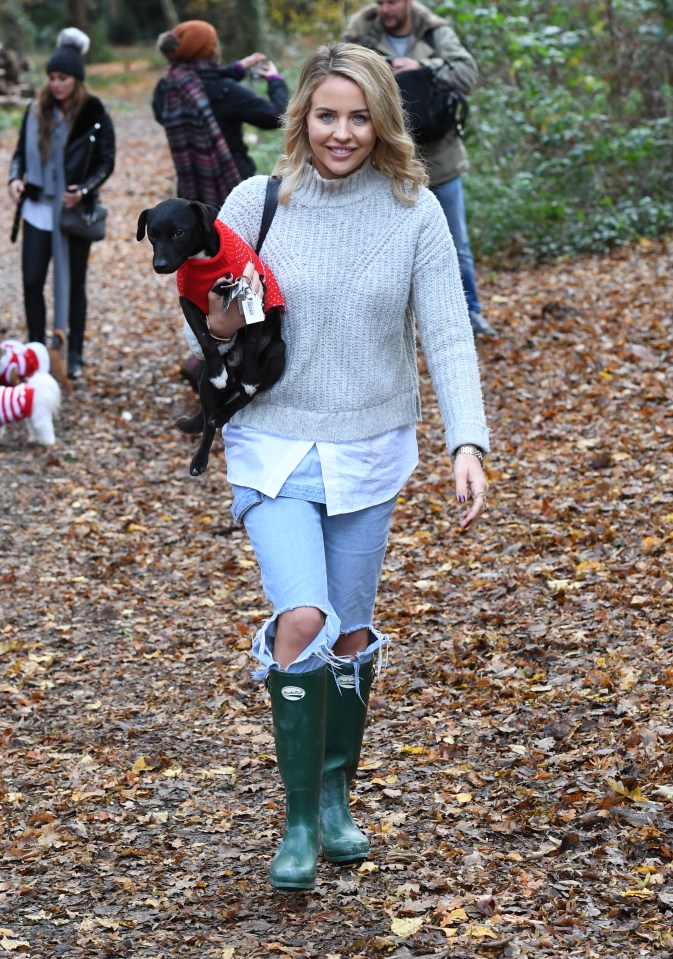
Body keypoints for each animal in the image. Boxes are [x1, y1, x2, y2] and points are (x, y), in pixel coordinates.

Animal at [136, 198, 284, 476]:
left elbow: (251, 342)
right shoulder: (187, 302)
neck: (204, 263)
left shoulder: (254, 296)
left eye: (178, 232)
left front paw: (250, 374)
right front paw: (218, 372)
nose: (159, 265)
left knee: (250, 393)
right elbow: (204, 337)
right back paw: (200, 457)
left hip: (278, 354)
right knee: (208, 423)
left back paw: (234, 399)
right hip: (204, 384)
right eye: (152, 235)